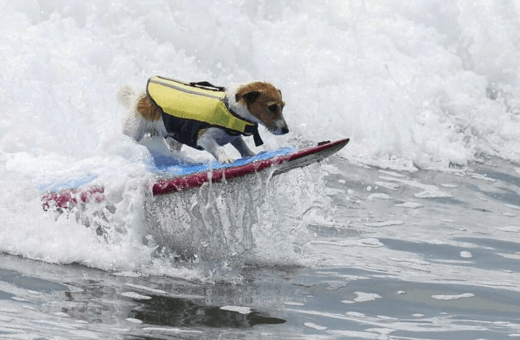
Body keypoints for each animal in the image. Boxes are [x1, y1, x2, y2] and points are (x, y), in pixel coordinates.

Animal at [118, 76, 288, 163]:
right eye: (272, 107)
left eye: (283, 106)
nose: (286, 130)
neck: (230, 109)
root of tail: (138, 98)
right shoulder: (205, 138)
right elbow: (218, 148)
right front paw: (225, 158)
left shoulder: (234, 136)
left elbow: (242, 145)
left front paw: (251, 154)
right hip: (133, 130)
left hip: (173, 141)